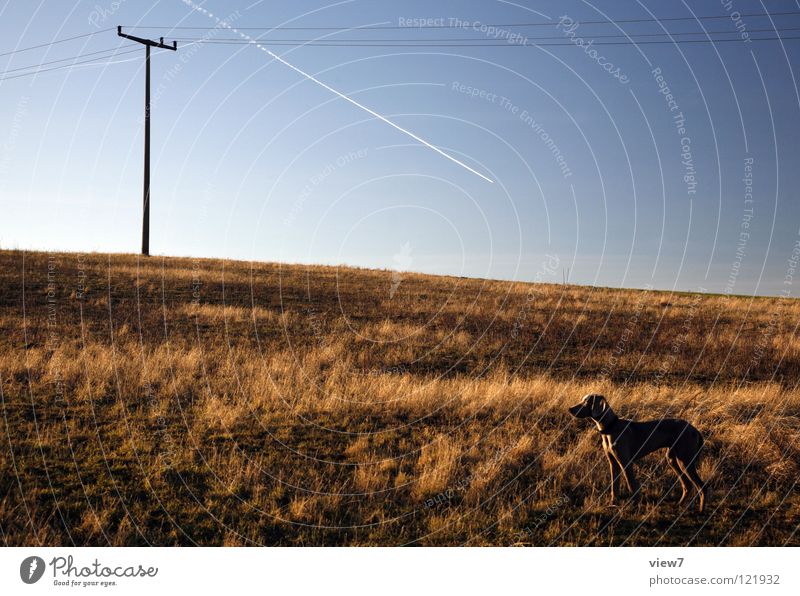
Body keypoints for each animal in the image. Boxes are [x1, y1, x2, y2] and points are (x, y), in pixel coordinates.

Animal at [568, 394, 708, 516]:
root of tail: (695, 430)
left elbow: (631, 485)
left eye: (586, 402)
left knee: (701, 486)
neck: (611, 427)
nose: (570, 409)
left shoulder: (625, 463)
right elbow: (614, 486)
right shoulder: (613, 463)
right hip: (673, 459)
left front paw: (634, 505)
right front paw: (613, 504)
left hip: (685, 461)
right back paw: (679, 505)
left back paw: (701, 511)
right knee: (687, 485)